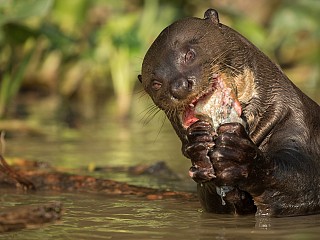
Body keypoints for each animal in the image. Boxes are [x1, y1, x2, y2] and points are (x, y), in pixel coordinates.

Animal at [138, 9, 320, 217]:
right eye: (156, 84)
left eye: (189, 54)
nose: (179, 86)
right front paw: (199, 146)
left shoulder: (298, 124)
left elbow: (304, 184)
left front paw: (238, 157)